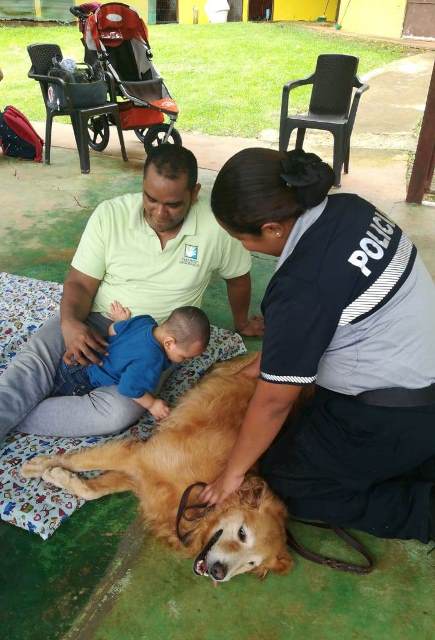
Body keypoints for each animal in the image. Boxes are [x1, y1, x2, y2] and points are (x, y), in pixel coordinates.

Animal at [21, 354, 293, 583]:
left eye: (250, 563)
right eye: (242, 534)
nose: (219, 573)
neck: (198, 502)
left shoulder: (141, 478)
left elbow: (92, 490)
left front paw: (57, 474)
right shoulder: (137, 455)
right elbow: (82, 461)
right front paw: (39, 466)